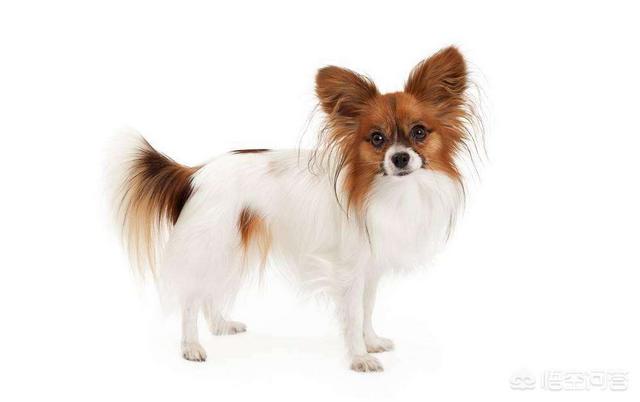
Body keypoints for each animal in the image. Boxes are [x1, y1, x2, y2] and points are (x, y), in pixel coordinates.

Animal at [107, 46, 480, 372]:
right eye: (377, 139)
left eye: (419, 132)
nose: (400, 158)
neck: (390, 191)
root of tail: (195, 173)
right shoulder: (348, 270)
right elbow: (353, 313)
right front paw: (359, 358)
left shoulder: (370, 268)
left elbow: (367, 308)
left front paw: (371, 342)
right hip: (213, 242)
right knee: (191, 296)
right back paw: (191, 347)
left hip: (232, 247)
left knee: (209, 291)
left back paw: (220, 325)